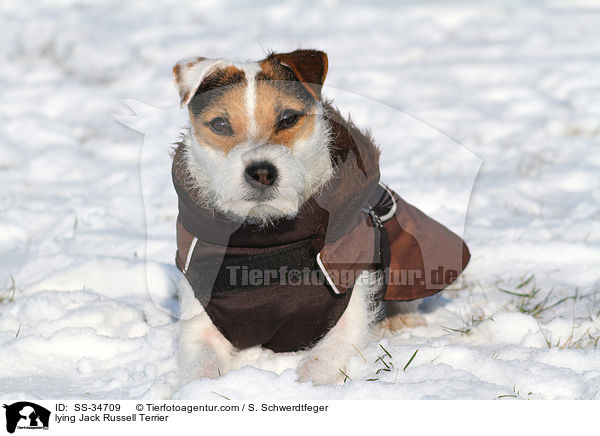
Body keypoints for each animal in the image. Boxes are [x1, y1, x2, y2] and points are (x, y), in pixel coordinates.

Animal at [171, 48, 472, 384]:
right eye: (221, 124)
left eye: (288, 118)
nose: (261, 171)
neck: (268, 240)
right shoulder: (200, 323)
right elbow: (200, 369)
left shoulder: (347, 315)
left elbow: (317, 364)